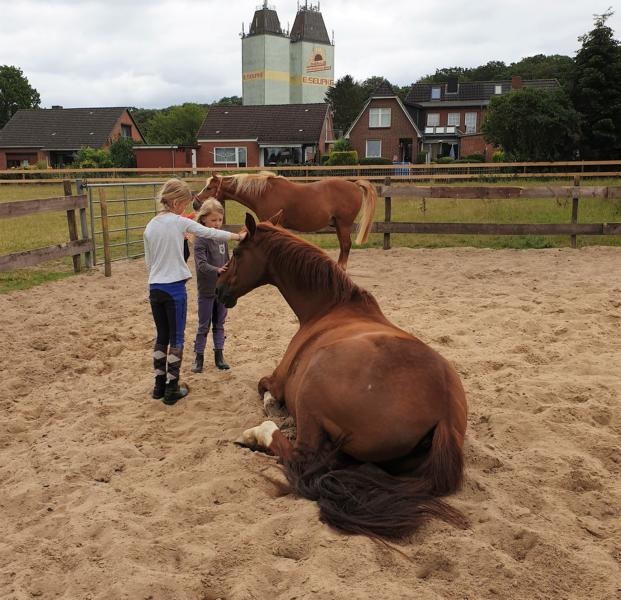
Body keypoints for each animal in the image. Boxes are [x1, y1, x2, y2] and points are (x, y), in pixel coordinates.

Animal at [194, 171, 378, 270]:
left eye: (209, 187)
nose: (195, 203)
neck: (264, 193)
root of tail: (354, 185)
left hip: (343, 224)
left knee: (346, 245)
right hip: (339, 225)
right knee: (343, 246)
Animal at [216, 212, 468, 540]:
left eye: (236, 253)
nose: (218, 289)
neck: (330, 308)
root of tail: (445, 415)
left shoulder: (278, 380)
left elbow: (264, 389)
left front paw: (272, 412)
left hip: (310, 395)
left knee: (300, 456)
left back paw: (256, 434)